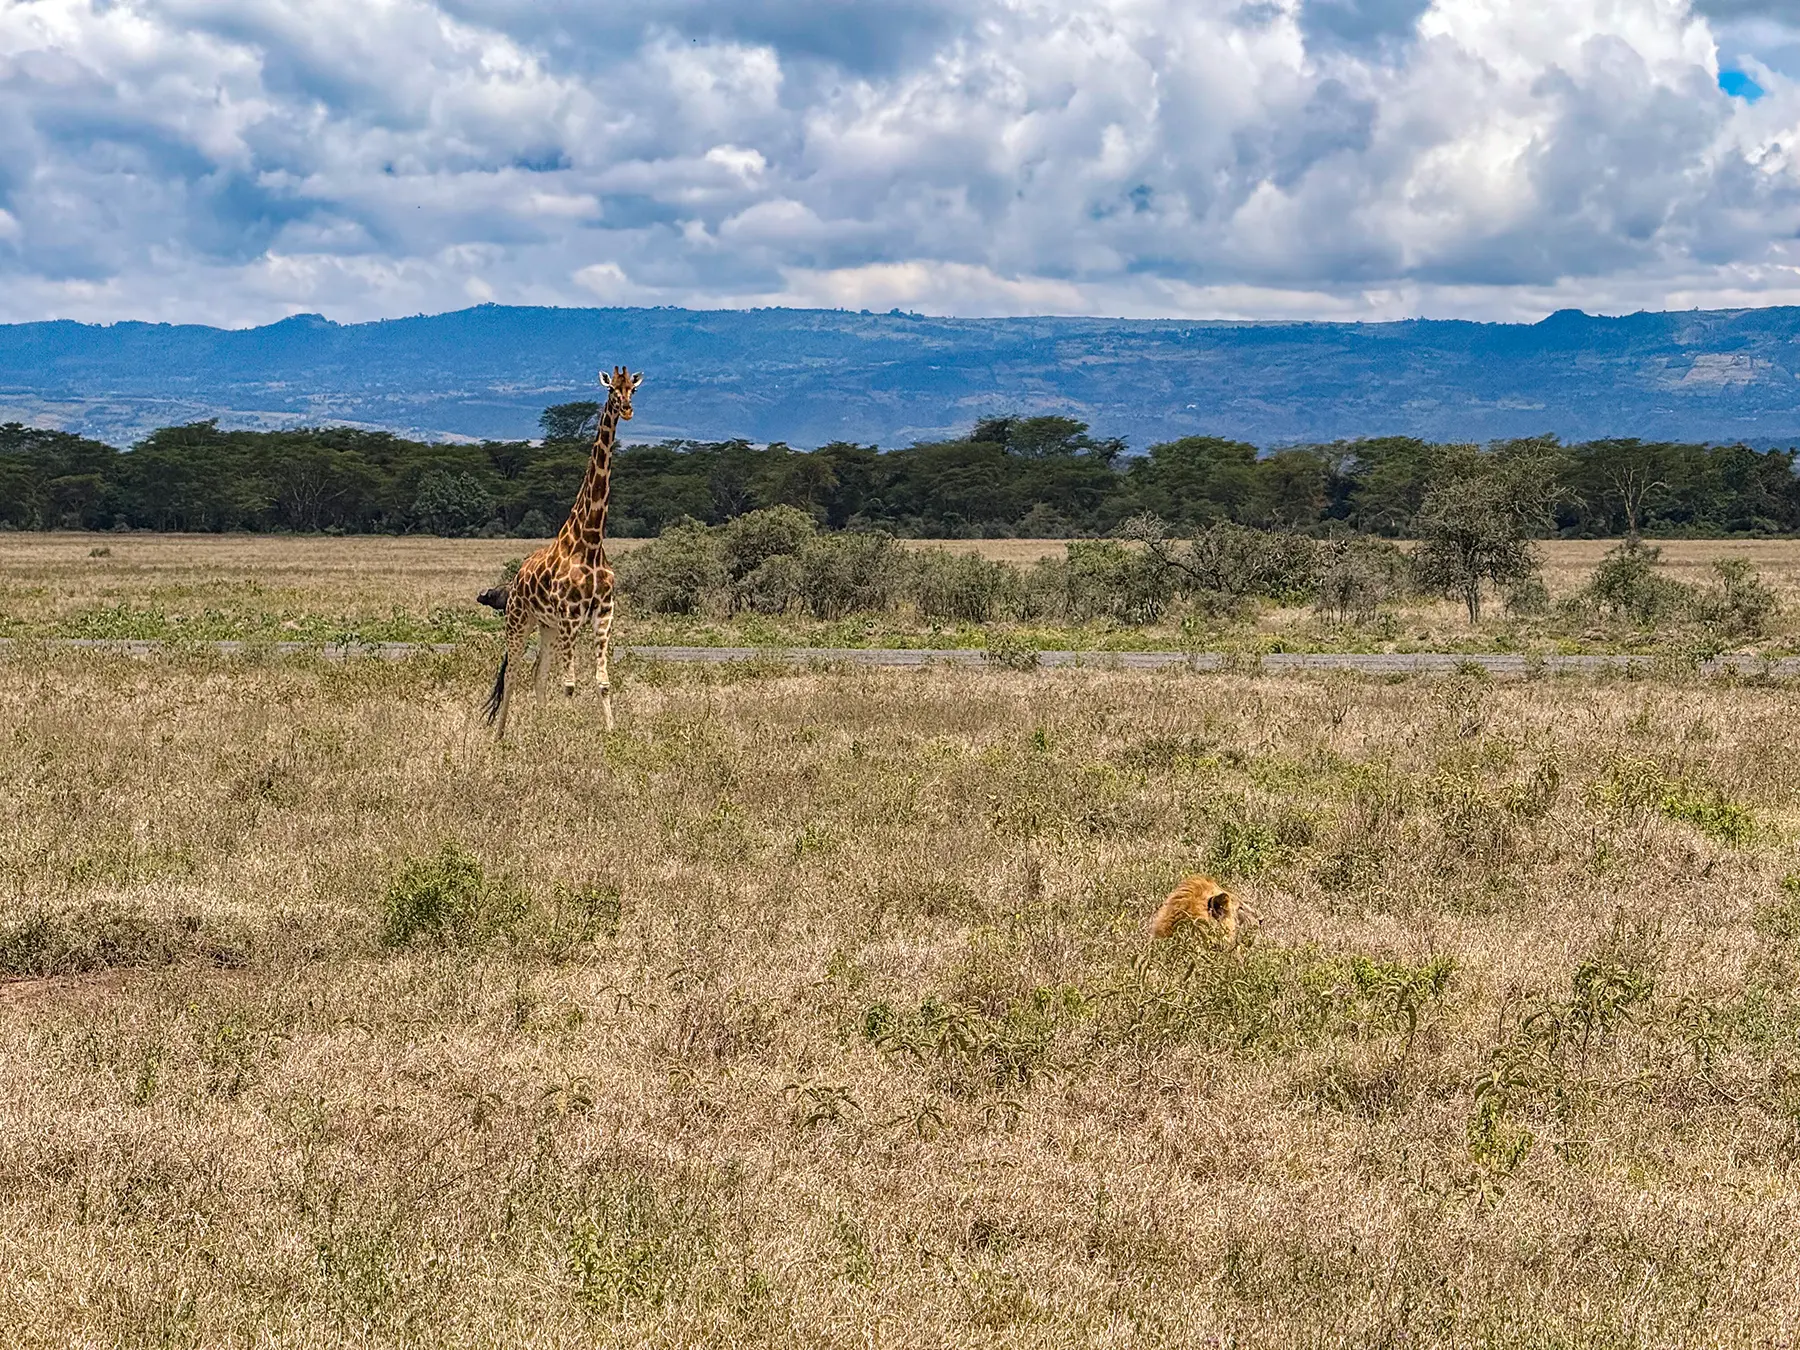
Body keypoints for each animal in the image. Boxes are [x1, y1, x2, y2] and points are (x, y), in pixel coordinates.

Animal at [483, 365, 642, 738]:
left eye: (634, 389)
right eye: (612, 389)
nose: (627, 409)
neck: (591, 541)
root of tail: (514, 581)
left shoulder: (603, 614)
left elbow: (602, 682)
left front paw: (610, 733)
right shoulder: (570, 616)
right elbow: (569, 685)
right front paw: (567, 735)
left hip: (547, 627)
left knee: (537, 674)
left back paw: (541, 729)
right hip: (519, 620)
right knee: (512, 674)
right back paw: (499, 735)